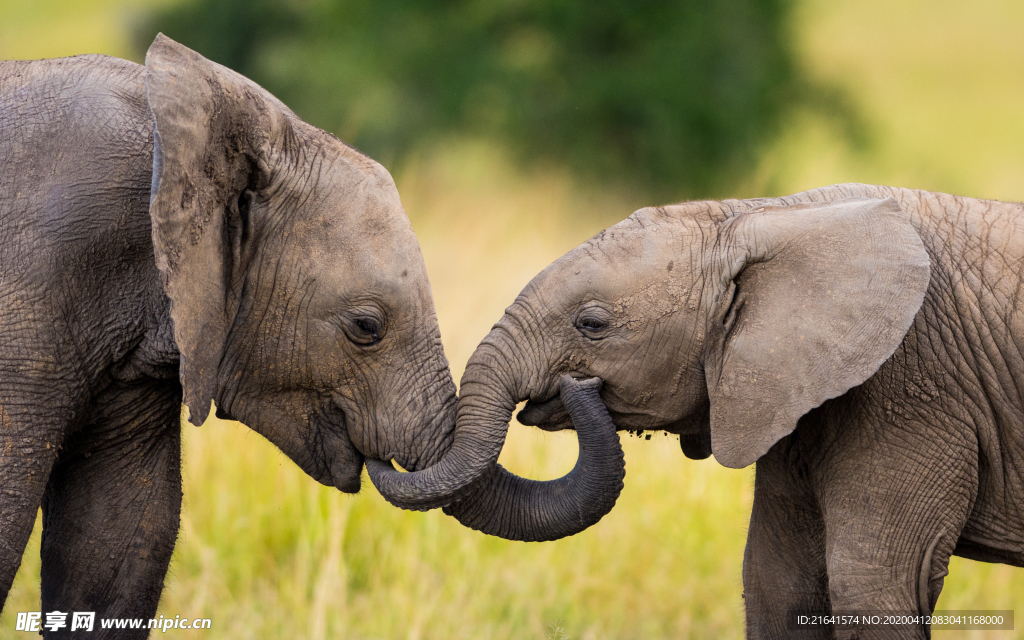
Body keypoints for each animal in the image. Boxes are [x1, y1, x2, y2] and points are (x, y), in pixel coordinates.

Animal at [454, 181, 1024, 638]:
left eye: (592, 325)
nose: (577, 388)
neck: (760, 214)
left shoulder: (914, 391)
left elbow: (871, 585)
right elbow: (777, 583)